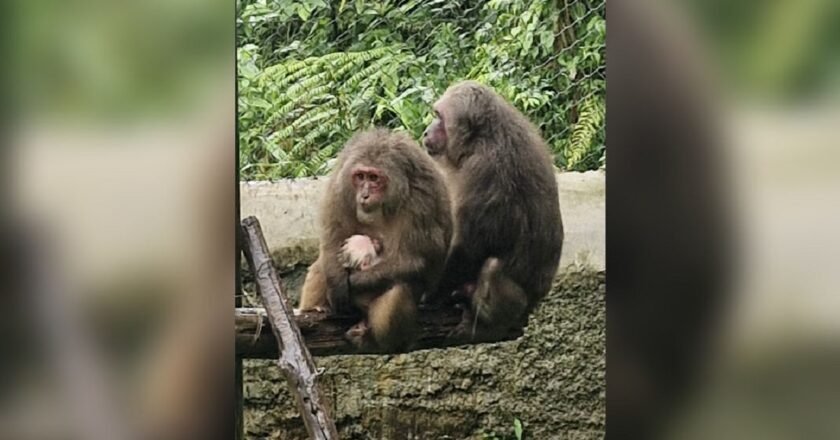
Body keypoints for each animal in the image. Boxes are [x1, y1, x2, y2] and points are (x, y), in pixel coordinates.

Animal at [297, 129, 452, 352]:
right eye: (360, 176)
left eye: (374, 178)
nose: (364, 195)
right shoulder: (340, 187)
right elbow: (332, 241)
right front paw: (337, 284)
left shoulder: (421, 201)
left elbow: (413, 260)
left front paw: (350, 283)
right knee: (322, 264)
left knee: (399, 287)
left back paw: (376, 341)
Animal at [422, 80, 564, 339]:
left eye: (439, 117)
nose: (427, 131)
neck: (482, 137)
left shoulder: (482, 170)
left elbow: (468, 247)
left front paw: (431, 293)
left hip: (519, 304)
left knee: (492, 268)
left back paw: (488, 324)